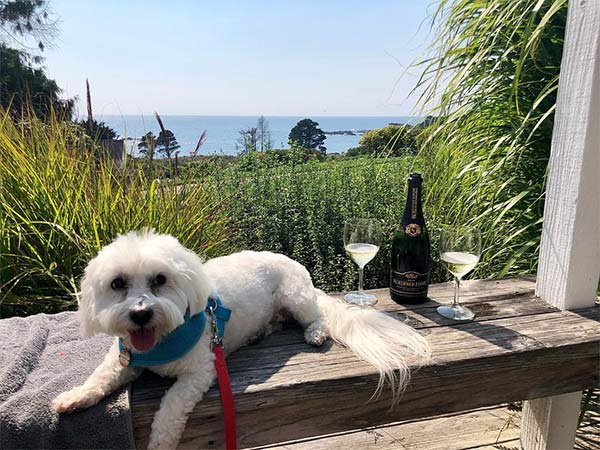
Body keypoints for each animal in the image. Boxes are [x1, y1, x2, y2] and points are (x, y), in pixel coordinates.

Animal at [50, 230, 426, 448]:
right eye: (117, 284)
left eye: (160, 279)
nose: (140, 313)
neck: (161, 342)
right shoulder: (124, 359)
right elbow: (99, 377)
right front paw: (73, 397)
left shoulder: (200, 372)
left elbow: (170, 406)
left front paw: (161, 442)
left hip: (295, 296)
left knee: (316, 315)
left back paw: (315, 332)